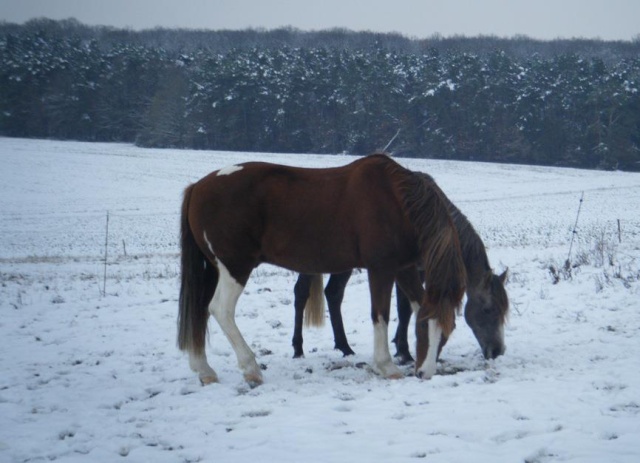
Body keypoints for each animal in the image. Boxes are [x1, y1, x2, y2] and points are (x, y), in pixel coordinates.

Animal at [176, 154, 464, 386]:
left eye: (448, 331)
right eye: (423, 329)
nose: (424, 373)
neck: (395, 201)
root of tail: (197, 187)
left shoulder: (404, 268)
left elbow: (417, 306)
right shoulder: (381, 268)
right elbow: (380, 314)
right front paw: (387, 366)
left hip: (213, 269)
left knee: (201, 311)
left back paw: (205, 370)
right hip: (235, 267)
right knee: (220, 310)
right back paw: (251, 369)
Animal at [292, 172, 508, 364]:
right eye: (488, 309)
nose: (497, 351)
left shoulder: (421, 271)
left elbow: (409, 307)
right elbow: (404, 308)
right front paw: (404, 351)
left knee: (333, 293)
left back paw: (345, 347)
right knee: (302, 293)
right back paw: (298, 349)